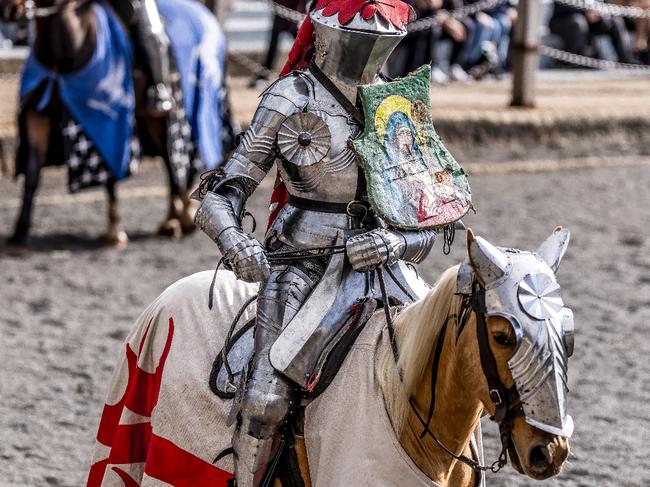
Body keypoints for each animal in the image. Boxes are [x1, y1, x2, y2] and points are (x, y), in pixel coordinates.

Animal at [1, 0, 230, 255]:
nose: (11, 10)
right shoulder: (37, 116)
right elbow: (32, 174)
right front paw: (19, 234)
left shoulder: (106, 120)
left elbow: (110, 175)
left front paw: (114, 230)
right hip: (150, 119)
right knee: (167, 158)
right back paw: (174, 217)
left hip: (171, 113)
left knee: (173, 159)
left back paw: (177, 219)